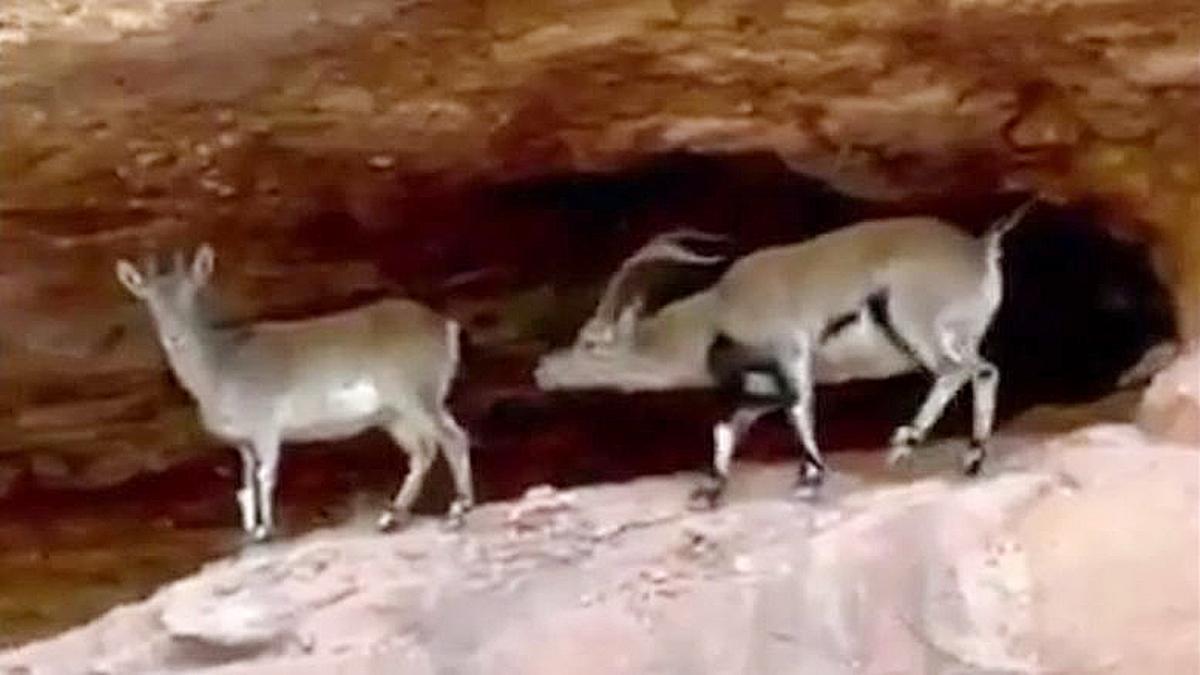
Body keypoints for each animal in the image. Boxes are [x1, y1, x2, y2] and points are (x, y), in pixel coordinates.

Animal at [116, 246, 472, 541]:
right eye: (150, 302)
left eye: (191, 296)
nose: (174, 337)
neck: (222, 369)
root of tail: (445, 326)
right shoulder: (242, 442)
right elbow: (245, 484)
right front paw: (252, 531)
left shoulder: (266, 428)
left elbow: (266, 475)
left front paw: (267, 531)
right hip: (394, 414)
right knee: (423, 450)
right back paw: (390, 518)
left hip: (416, 394)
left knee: (451, 438)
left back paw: (457, 511)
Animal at [536, 202, 1035, 505]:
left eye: (590, 342)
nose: (542, 370)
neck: (718, 310)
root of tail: (980, 248)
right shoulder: (760, 382)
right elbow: (731, 425)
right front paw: (712, 490)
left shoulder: (790, 349)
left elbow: (798, 408)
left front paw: (812, 476)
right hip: (962, 335)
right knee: (985, 371)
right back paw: (972, 459)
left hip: (915, 324)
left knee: (954, 371)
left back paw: (904, 443)